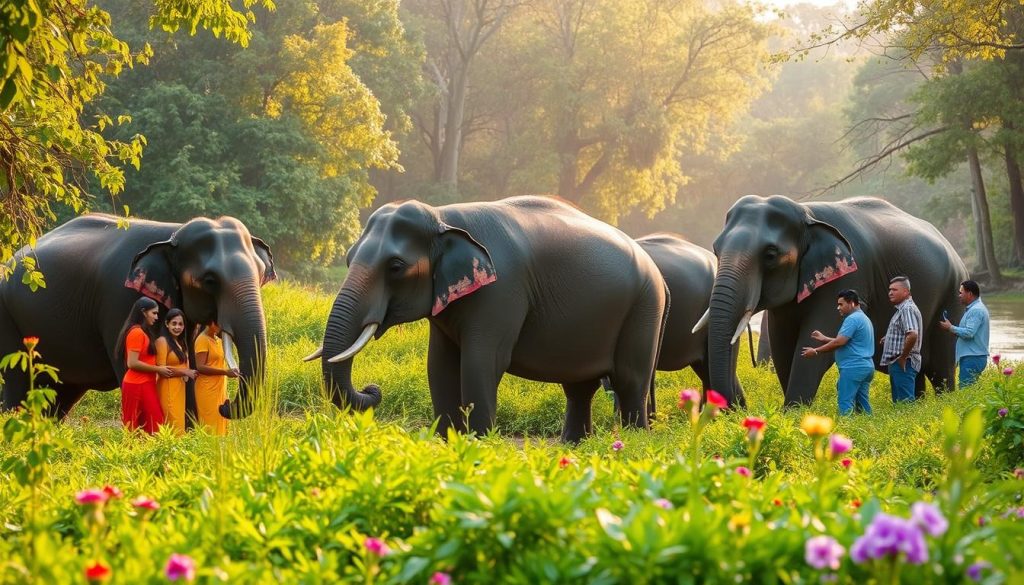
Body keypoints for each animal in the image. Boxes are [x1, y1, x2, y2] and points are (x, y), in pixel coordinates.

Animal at [0, 214, 276, 418]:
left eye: (261, 273)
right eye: (210, 281)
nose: (225, 406)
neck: (173, 234)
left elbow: (190, 361)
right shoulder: (118, 300)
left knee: (60, 394)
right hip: (7, 317)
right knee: (16, 382)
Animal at [306, 196, 669, 443]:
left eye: (395, 267)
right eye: (349, 258)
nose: (373, 388)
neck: (443, 217)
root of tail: (659, 276)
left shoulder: (502, 292)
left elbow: (482, 363)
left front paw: (478, 444)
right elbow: (439, 366)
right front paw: (448, 442)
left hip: (644, 308)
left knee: (630, 380)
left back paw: (633, 442)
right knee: (579, 386)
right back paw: (574, 446)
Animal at [704, 195, 967, 406]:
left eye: (770, 255)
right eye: (715, 250)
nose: (738, 409)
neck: (806, 212)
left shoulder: (850, 275)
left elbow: (813, 342)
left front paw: (794, 413)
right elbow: (782, 345)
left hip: (953, 293)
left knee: (941, 366)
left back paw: (941, 402)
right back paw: (911, 404)